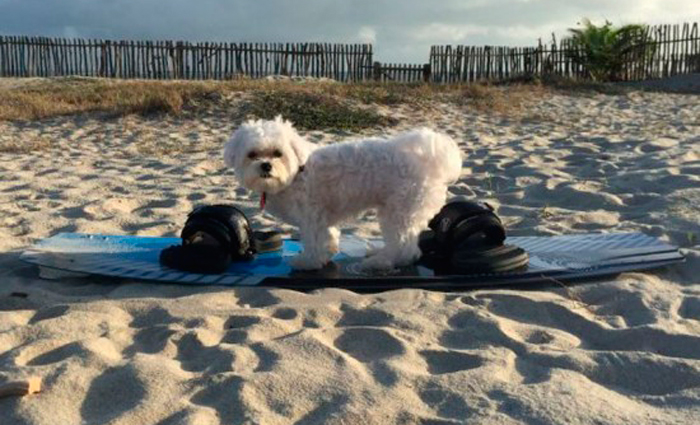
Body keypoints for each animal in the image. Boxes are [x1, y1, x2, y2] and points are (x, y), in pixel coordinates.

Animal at [224, 116, 462, 268]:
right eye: (252, 154)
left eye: (277, 153)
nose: (265, 165)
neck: (296, 172)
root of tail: (428, 161)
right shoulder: (322, 217)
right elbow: (328, 236)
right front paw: (326, 254)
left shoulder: (311, 216)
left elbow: (313, 240)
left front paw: (309, 262)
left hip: (399, 210)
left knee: (404, 246)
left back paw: (380, 262)